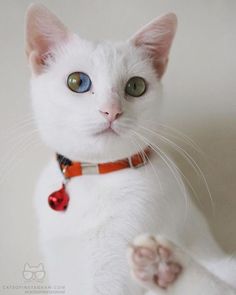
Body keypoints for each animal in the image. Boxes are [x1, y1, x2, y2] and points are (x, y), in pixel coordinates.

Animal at [24, 4, 235, 295]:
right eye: (77, 81)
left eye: (136, 86)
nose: (111, 111)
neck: (96, 176)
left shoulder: (111, 275)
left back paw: (164, 266)